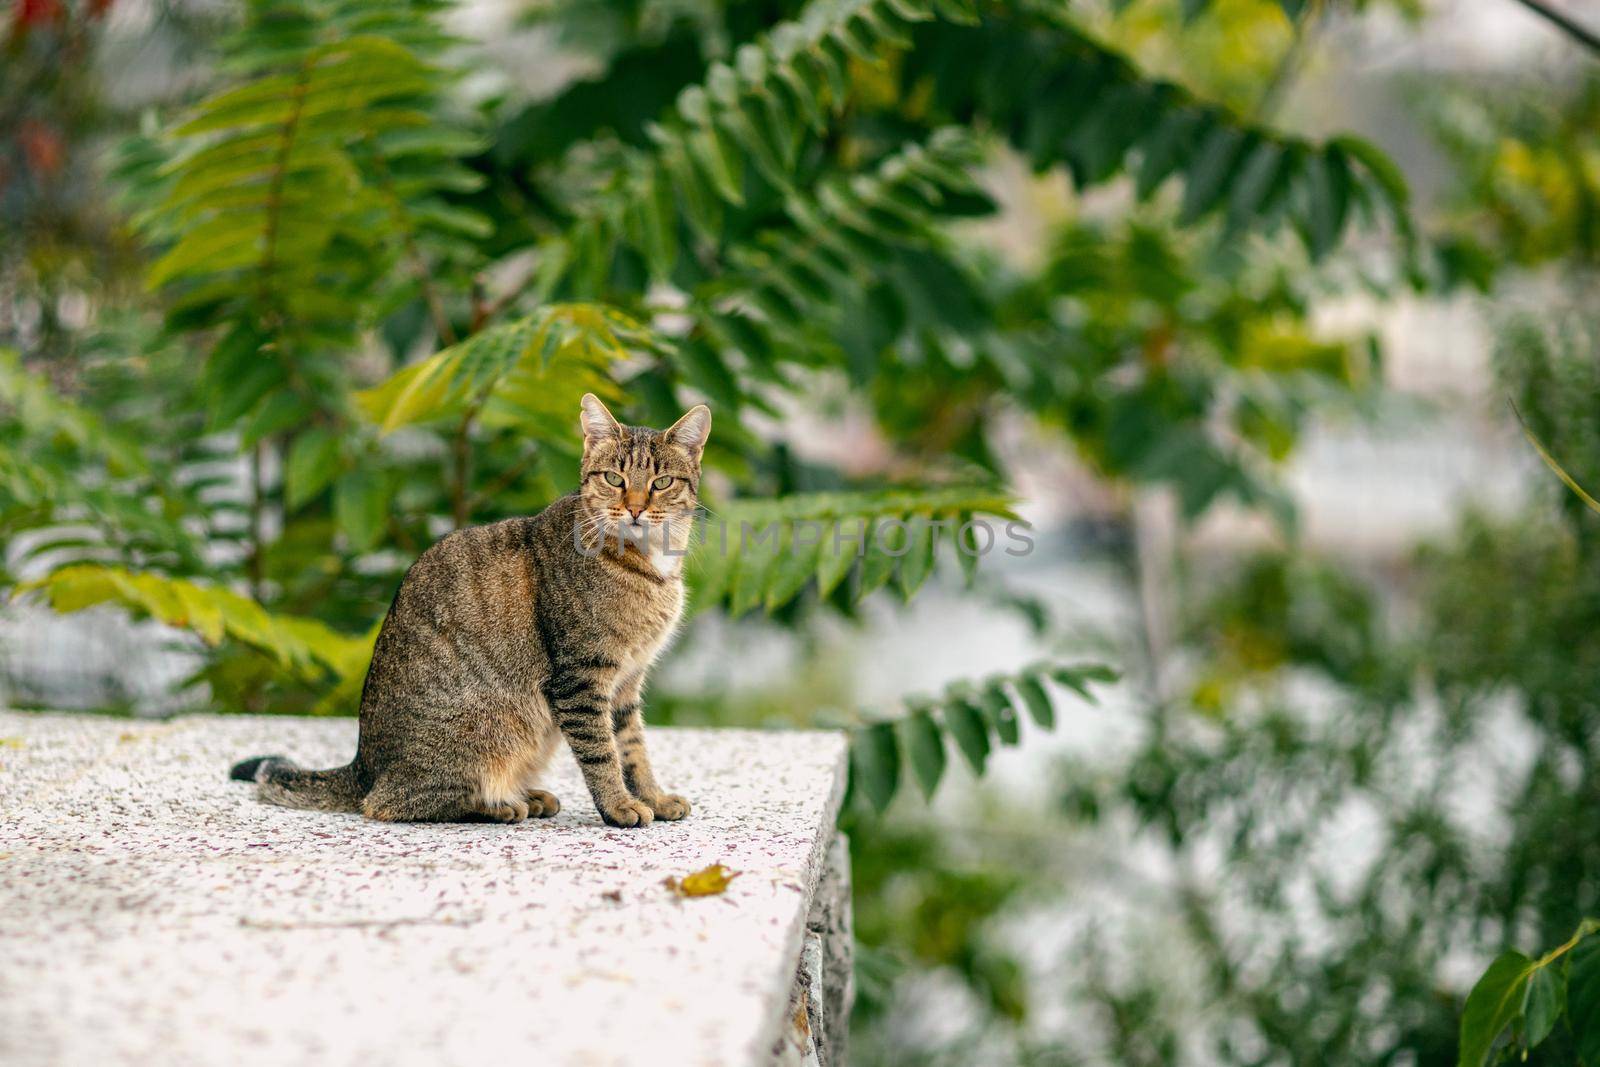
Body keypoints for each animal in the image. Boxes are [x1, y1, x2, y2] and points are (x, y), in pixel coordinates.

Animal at [232, 391, 713, 825]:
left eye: (661, 483)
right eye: (614, 479)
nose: (634, 509)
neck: (649, 564)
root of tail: (363, 766)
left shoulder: (627, 682)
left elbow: (633, 748)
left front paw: (653, 797)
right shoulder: (581, 678)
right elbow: (602, 753)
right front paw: (619, 806)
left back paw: (529, 794)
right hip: (490, 728)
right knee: (389, 804)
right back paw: (502, 804)